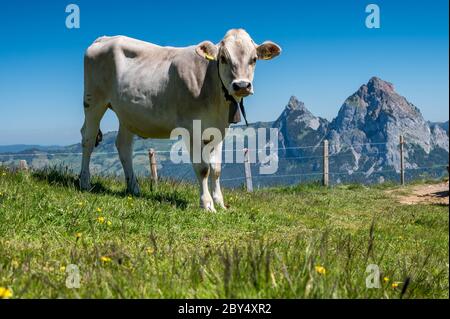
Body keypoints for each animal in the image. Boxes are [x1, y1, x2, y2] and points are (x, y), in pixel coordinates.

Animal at [79, 28, 280, 211]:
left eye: (254, 59)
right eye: (223, 58)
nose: (242, 85)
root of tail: (104, 38)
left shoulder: (220, 130)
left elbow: (216, 169)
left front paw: (220, 203)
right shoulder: (191, 129)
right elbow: (203, 169)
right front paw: (207, 205)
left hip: (127, 113)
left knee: (123, 146)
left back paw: (134, 188)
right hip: (93, 100)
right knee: (88, 138)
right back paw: (85, 182)